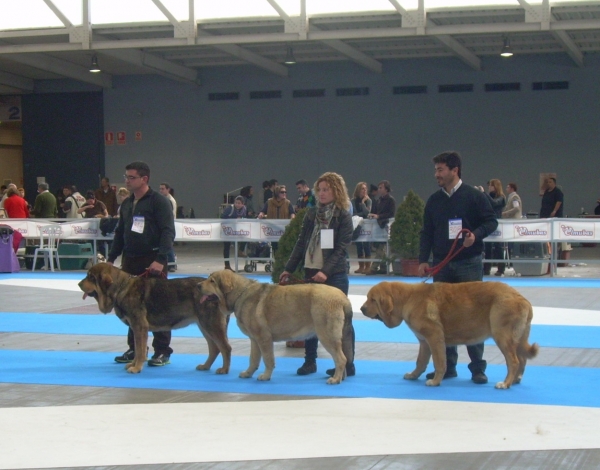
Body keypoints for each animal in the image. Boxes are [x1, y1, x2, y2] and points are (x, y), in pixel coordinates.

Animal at [78, 264, 232, 374]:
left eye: (90, 277)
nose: (79, 284)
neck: (121, 288)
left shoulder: (140, 327)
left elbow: (140, 350)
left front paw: (137, 368)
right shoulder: (136, 328)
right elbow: (137, 349)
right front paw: (133, 364)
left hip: (211, 324)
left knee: (225, 348)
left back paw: (224, 369)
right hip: (204, 326)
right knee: (214, 348)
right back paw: (205, 366)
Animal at [199, 270, 354, 384]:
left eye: (212, 281)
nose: (199, 285)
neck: (239, 294)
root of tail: (343, 298)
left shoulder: (264, 338)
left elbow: (268, 359)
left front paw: (266, 376)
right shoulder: (254, 340)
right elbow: (253, 358)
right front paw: (248, 373)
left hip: (327, 335)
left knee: (341, 358)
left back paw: (335, 379)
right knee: (344, 357)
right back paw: (341, 377)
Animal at [360, 280, 540, 388]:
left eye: (373, 299)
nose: (361, 309)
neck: (407, 299)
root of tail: (523, 299)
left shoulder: (434, 338)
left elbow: (439, 363)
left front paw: (435, 381)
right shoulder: (424, 342)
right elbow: (420, 362)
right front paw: (414, 375)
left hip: (502, 337)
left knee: (514, 361)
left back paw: (505, 383)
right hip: (516, 339)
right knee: (522, 359)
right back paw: (515, 380)